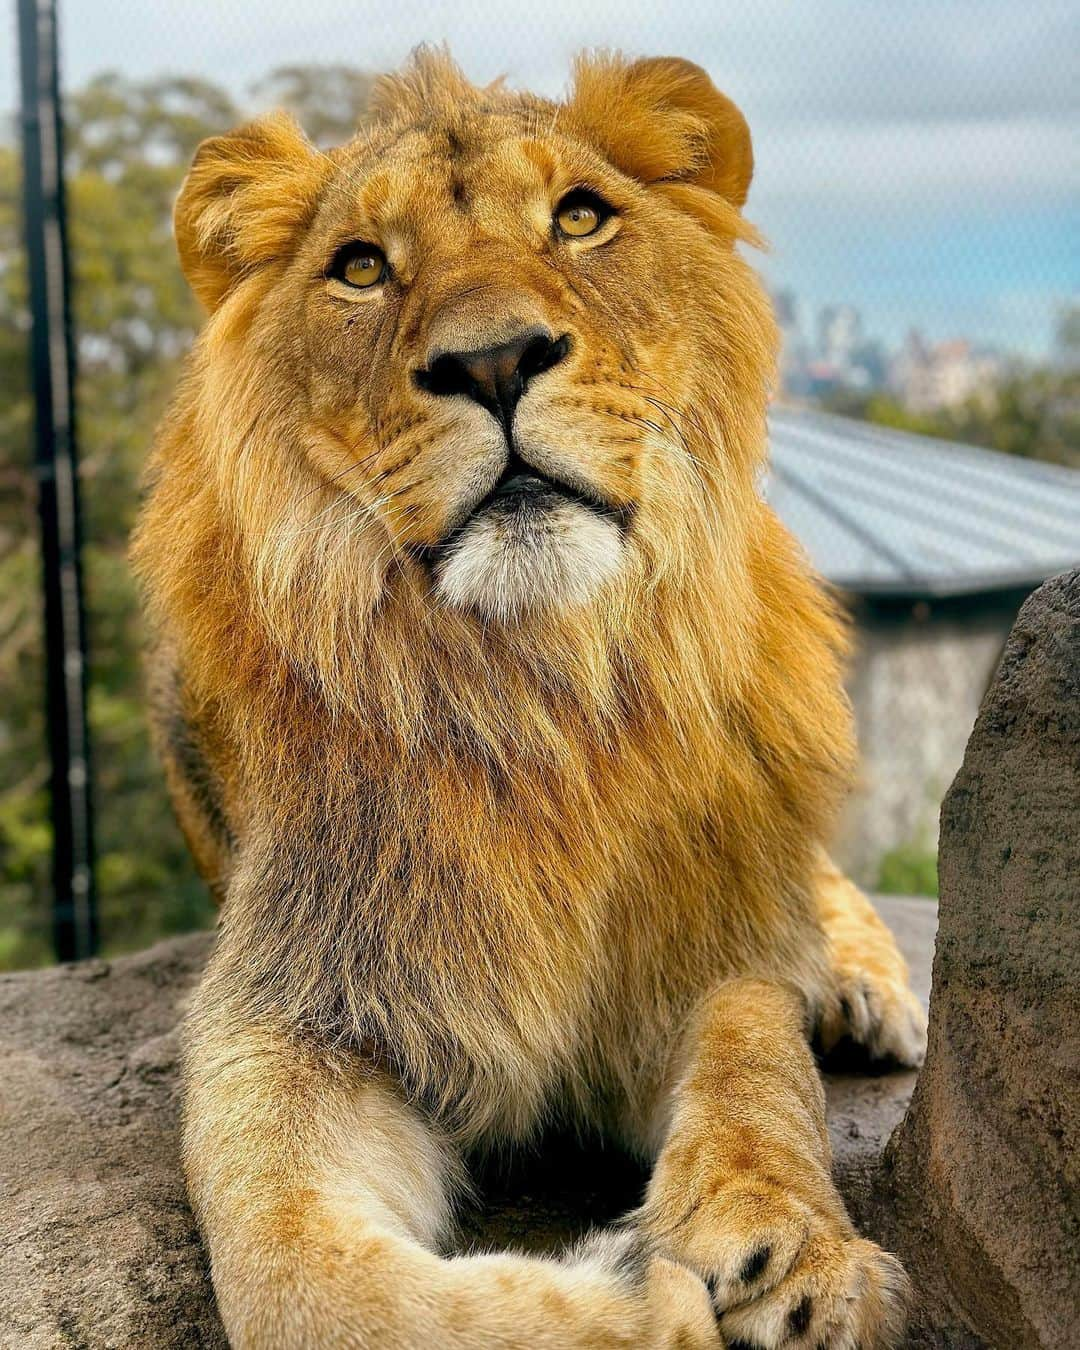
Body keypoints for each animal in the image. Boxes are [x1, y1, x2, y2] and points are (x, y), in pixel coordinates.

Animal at [132, 47, 928, 1350]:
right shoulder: (295, 1004)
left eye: (580, 217)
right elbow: (303, 1274)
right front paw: (643, 1290)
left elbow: (758, 1063)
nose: (494, 361)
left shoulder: (706, 943)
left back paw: (862, 989)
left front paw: (795, 1253)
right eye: (363, 266)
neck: (536, 684)